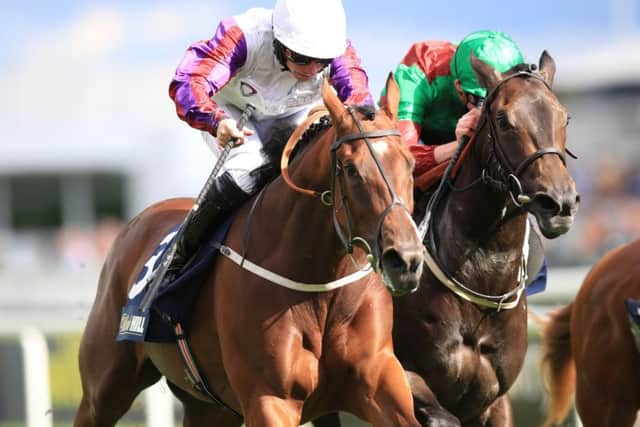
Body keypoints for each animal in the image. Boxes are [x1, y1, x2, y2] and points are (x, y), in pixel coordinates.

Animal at [74, 76, 424, 427]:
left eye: (410, 163)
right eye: (351, 170)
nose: (405, 260)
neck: (318, 284)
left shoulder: (377, 381)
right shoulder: (268, 400)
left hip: (210, 407)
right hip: (104, 389)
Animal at [314, 51, 580, 427]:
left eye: (564, 116)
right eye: (503, 119)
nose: (558, 203)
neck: (482, 280)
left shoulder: (495, 401)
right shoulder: (398, 375)